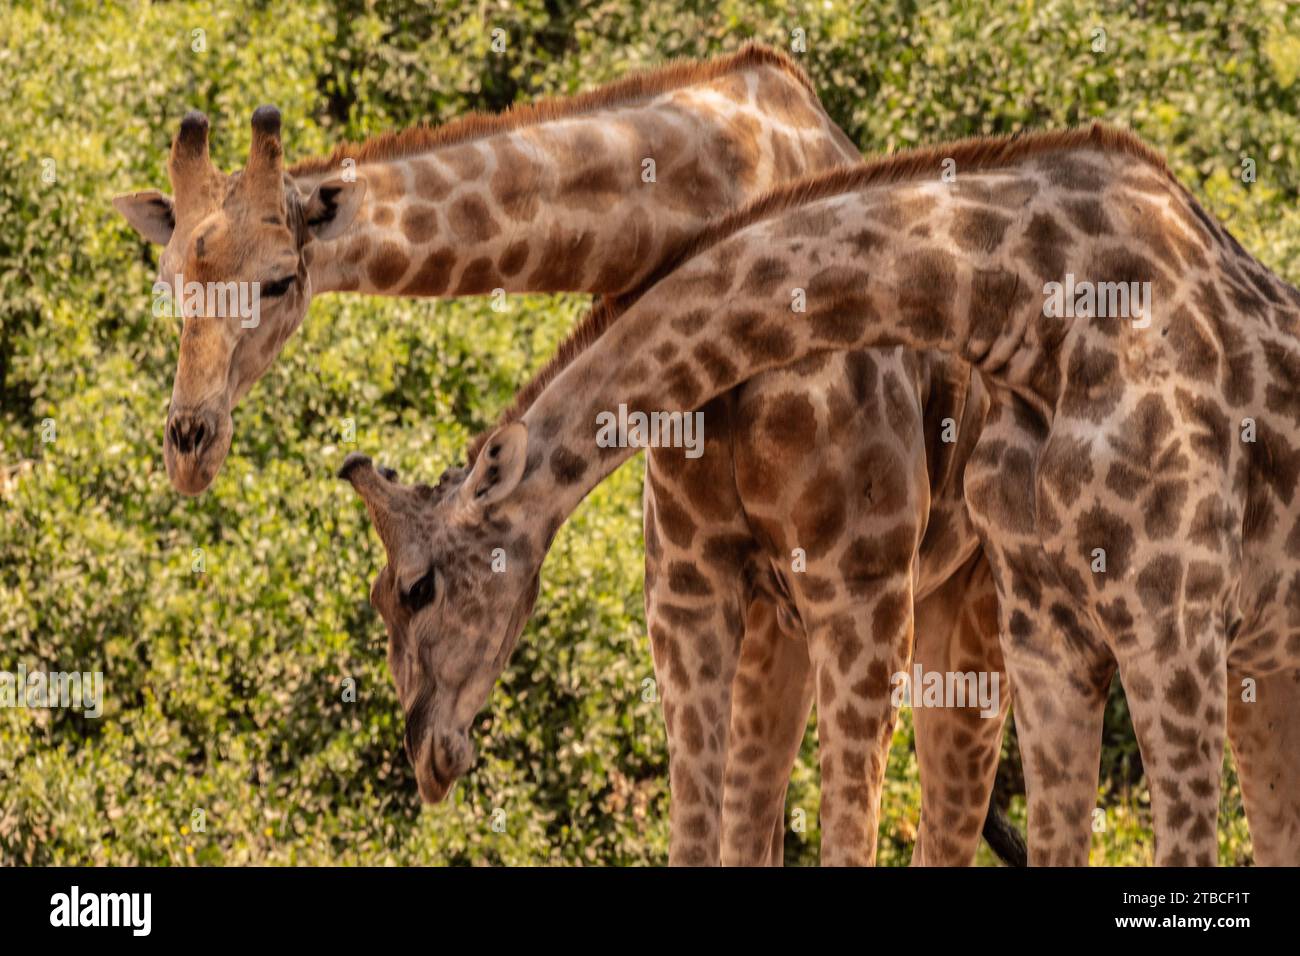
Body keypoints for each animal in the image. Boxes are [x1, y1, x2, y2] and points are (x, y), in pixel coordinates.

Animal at [109, 46, 1003, 868]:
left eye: (277, 281)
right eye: (169, 282)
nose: (189, 446)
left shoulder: (859, 588)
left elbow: (850, 834)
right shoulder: (689, 587)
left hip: (970, 609)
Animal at [343, 121, 1300, 868]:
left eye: (416, 588)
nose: (427, 753)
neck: (1037, 316)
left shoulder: (1168, 625)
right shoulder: (1047, 635)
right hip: (1255, 669)